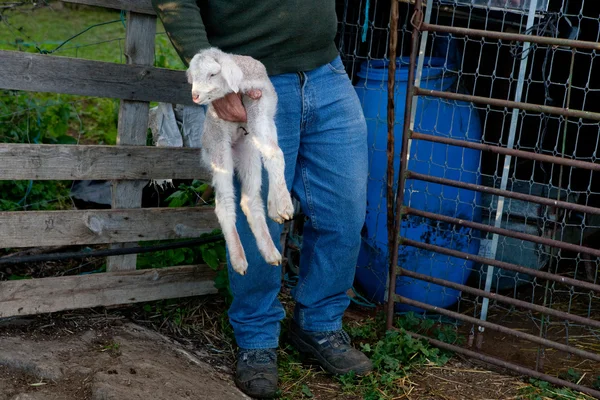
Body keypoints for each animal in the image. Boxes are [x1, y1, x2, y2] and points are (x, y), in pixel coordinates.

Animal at [185, 47, 292, 276]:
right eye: (193, 77)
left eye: (212, 74)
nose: (195, 96)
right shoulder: (254, 108)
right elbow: (275, 154)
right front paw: (285, 205)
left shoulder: (263, 112)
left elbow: (272, 153)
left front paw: (276, 206)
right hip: (218, 151)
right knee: (224, 203)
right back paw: (238, 259)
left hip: (247, 152)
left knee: (249, 200)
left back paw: (270, 252)